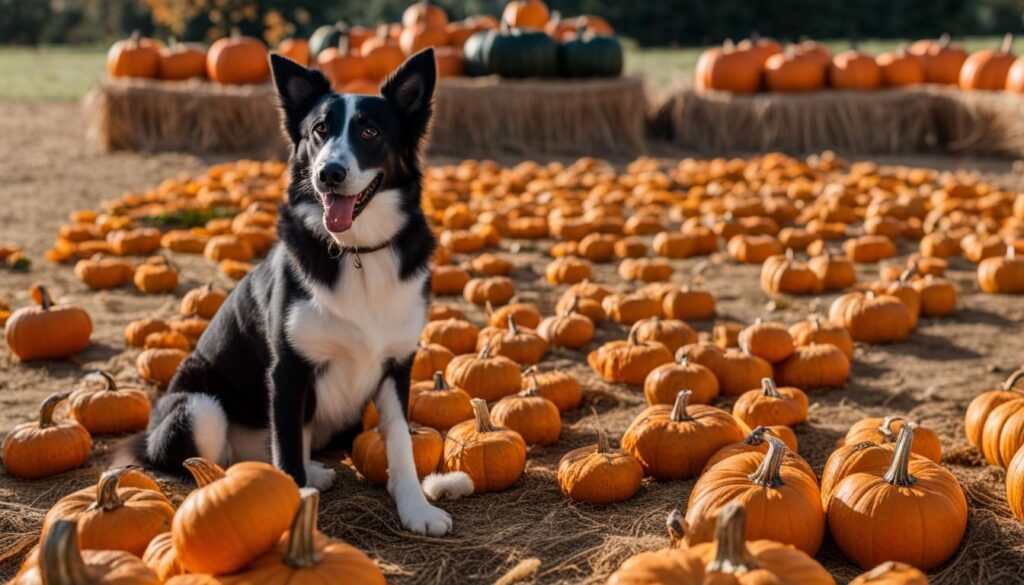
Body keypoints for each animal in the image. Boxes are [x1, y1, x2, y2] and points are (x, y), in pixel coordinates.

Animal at [128, 49, 460, 536]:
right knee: (215, 464)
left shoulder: (397, 366)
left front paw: (417, 508)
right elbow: (286, 446)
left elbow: (400, 441)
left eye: (369, 131)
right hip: (199, 407)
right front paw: (296, 514)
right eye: (319, 130)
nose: (329, 174)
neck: (356, 251)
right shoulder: (288, 370)